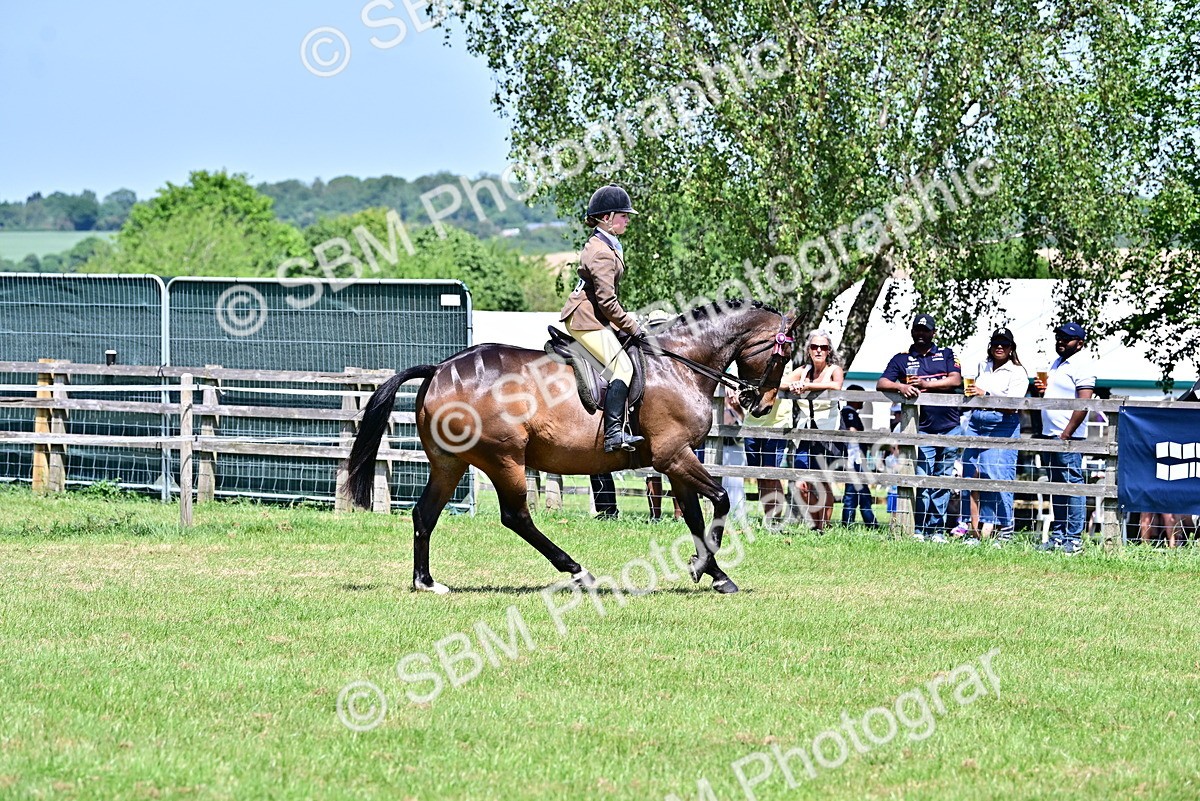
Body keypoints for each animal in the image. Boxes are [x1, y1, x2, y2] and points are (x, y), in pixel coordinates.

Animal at [345, 299, 800, 594]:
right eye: (784, 354)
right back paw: (579, 573)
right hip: (504, 459)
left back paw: (426, 582)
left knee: (425, 514)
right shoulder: (675, 455)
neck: (678, 365)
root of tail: (439, 368)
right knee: (516, 517)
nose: (761, 404)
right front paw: (704, 567)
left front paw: (715, 573)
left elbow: (693, 517)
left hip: (449, 463)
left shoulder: (676, 460)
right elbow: (720, 500)